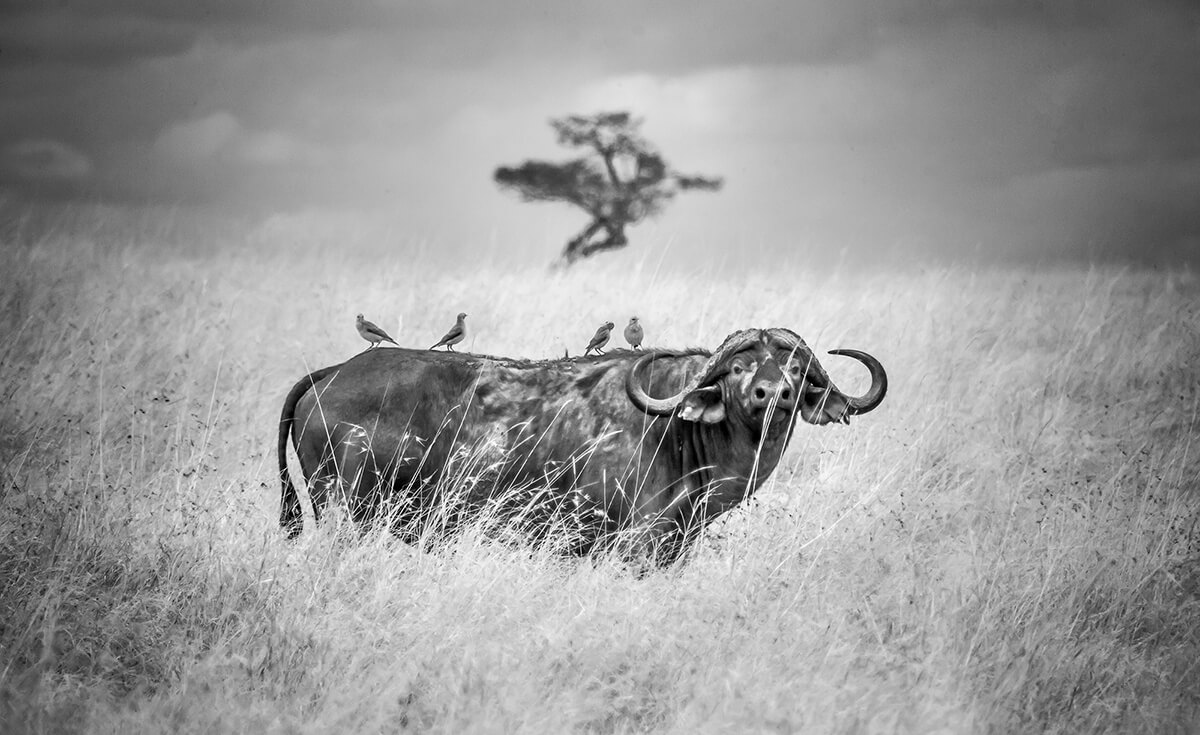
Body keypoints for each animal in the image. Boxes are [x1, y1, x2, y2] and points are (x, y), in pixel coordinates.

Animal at [278, 329, 883, 564]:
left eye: (796, 368)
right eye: (737, 367)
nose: (772, 393)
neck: (678, 432)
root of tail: (334, 372)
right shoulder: (634, 545)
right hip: (346, 509)